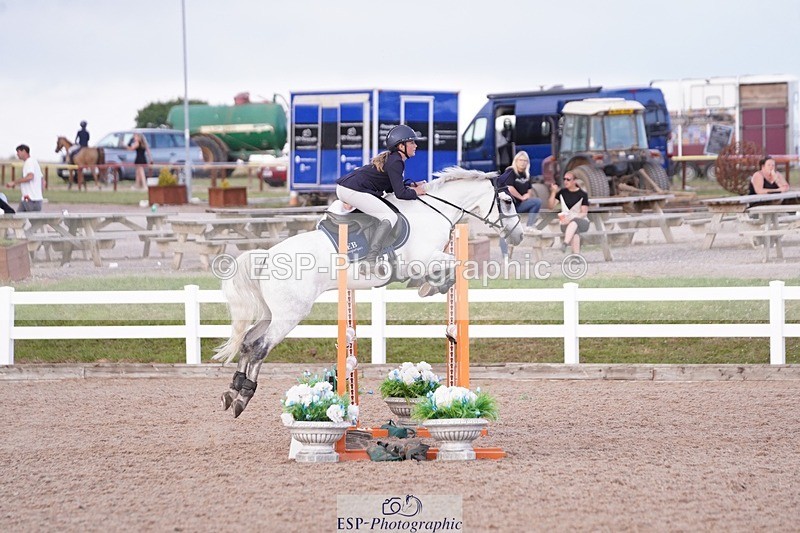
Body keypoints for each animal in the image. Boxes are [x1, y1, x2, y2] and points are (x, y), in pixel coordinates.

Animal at [213, 166, 525, 418]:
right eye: (507, 201)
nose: (519, 236)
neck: (432, 212)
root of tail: (267, 256)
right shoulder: (419, 260)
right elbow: (454, 263)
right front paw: (430, 286)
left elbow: (452, 265)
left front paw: (432, 286)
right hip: (289, 315)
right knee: (259, 347)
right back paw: (243, 397)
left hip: (271, 312)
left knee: (247, 342)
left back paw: (232, 392)